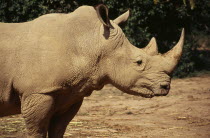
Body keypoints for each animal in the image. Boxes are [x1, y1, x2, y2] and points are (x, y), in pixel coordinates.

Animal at [0, 4, 184, 137]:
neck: (90, 42)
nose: (166, 87)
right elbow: (37, 131)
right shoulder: (37, 91)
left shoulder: (71, 93)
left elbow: (58, 129)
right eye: (139, 62)